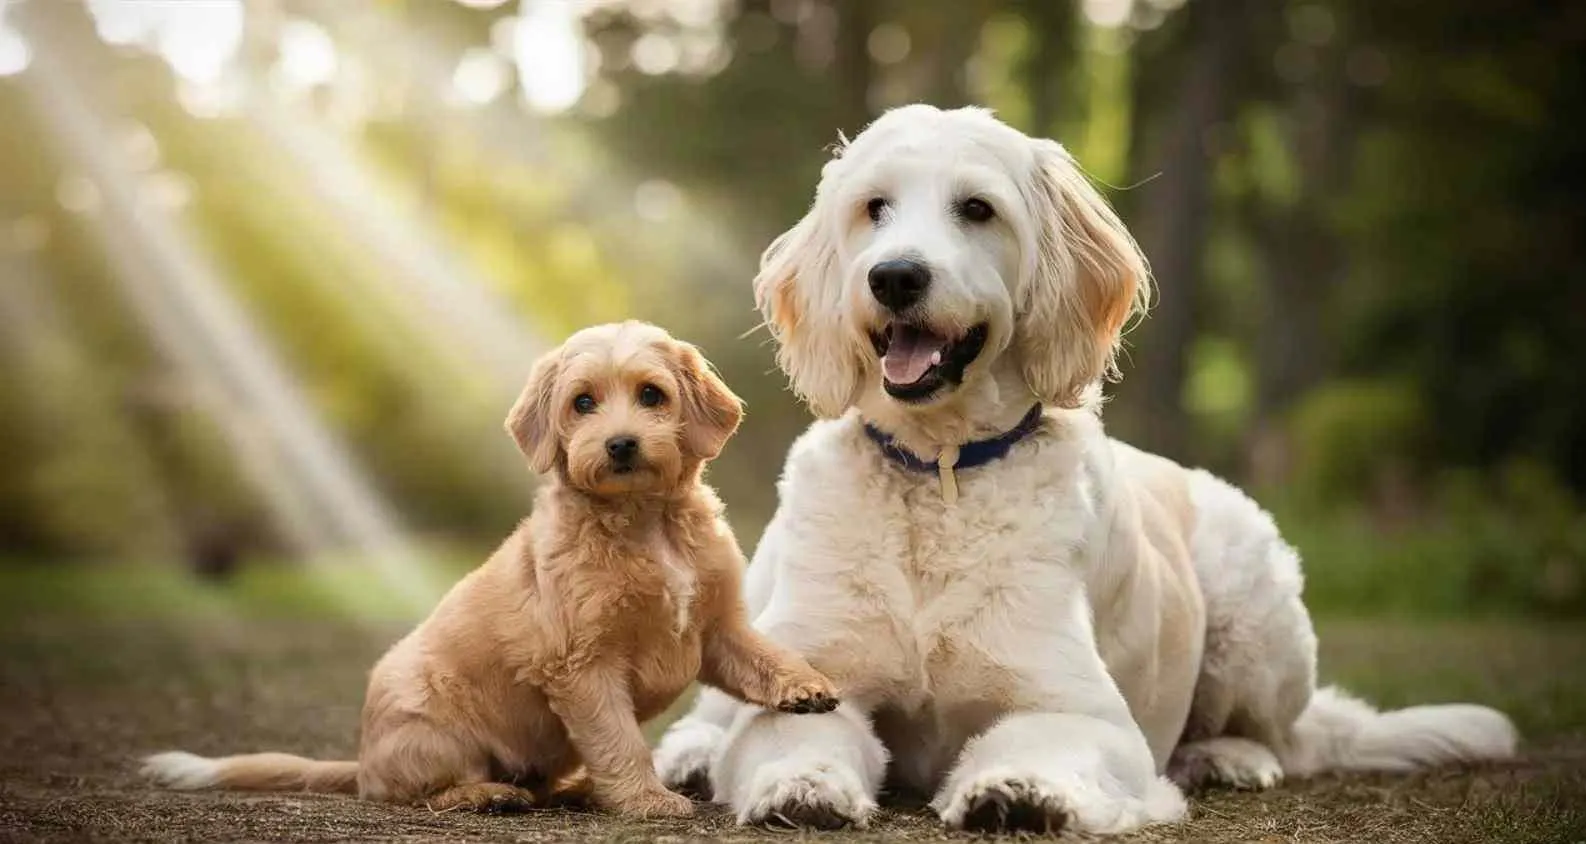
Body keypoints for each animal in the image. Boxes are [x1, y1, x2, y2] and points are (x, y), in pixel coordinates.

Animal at [145, 320, 843, 812]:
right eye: (582, 403)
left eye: (652, 395)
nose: (620, 445)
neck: (645, 523)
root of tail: (364, 761)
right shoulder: (583, 666)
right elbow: (619, 739)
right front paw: (647, 801)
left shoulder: (715, 628)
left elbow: (762, 655)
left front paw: (805, 685)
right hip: (438, 734)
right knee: (419, 791)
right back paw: (487, 795)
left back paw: (575, 790)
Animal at [653, 103, 1509, 831]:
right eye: (874, 207)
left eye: (977, 209)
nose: (894, 276)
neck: (939, 472)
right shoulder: (812, 683)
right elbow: (786, 734)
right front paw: (800, 785)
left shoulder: (1078, 707)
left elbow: (1044, 743)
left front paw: (1020, 790)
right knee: (714, 705)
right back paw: (691, 751)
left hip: (1254, 602)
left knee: (1283, 736)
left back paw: (1225, 757)